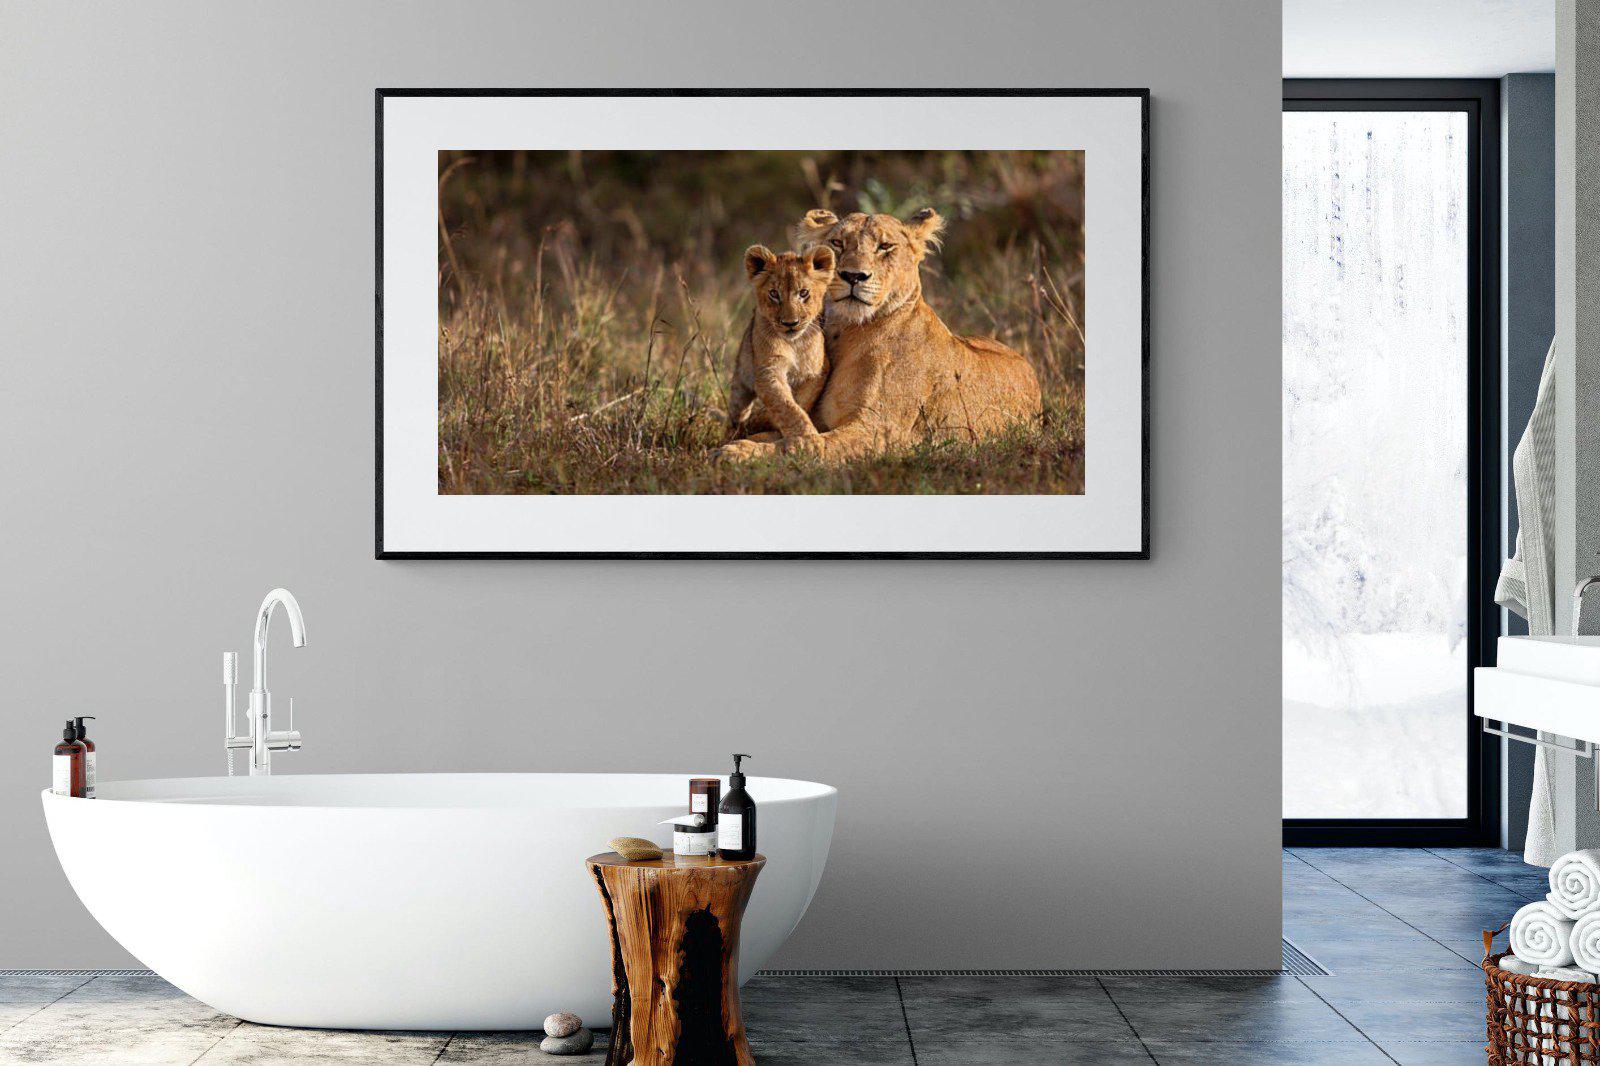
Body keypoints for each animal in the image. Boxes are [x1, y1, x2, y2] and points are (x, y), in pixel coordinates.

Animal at [726, 244, 835, 441]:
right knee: (736, 413)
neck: (795, 344)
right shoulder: (768, 370)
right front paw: (807, 439)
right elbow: (786, 406)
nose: (790, 323)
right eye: (774, 294)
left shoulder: (818, 370)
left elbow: (800, 400)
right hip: (741, 380)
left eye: (803, 293)